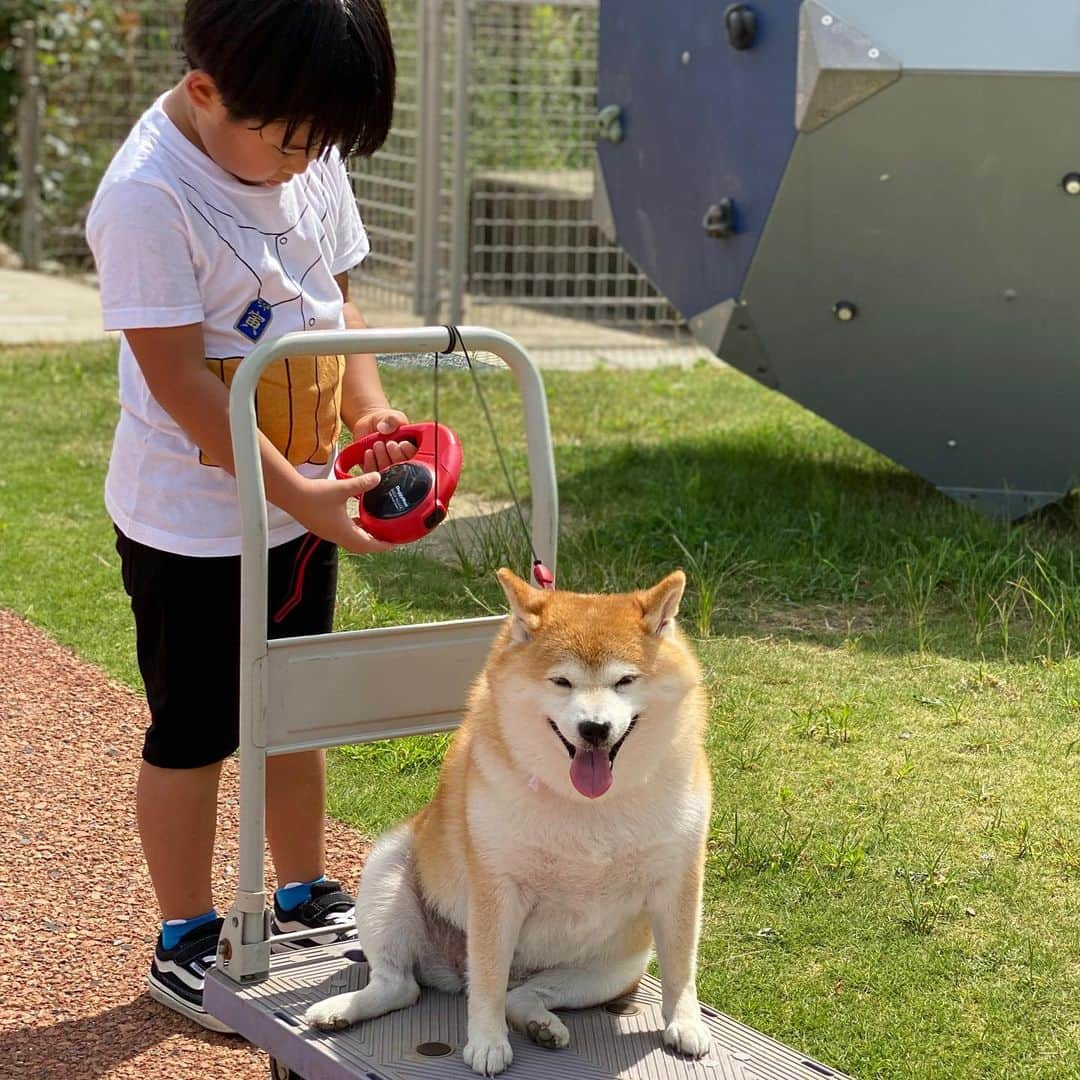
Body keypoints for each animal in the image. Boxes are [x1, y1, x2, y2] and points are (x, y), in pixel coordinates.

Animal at [306, 570, 708, 1075]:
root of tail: (450, 973)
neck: (587, 804)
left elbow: (681, 965)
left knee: (520, 995)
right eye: (562, 681)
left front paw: (686, 1023)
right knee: (404, 984)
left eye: (625, 680)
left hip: (614, 966)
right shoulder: (497, 889)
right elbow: (488, 980)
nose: (594, 729)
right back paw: (341, 1010)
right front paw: (487, 1041)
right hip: (386, 877)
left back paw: (541, 1023)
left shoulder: (679, 880)